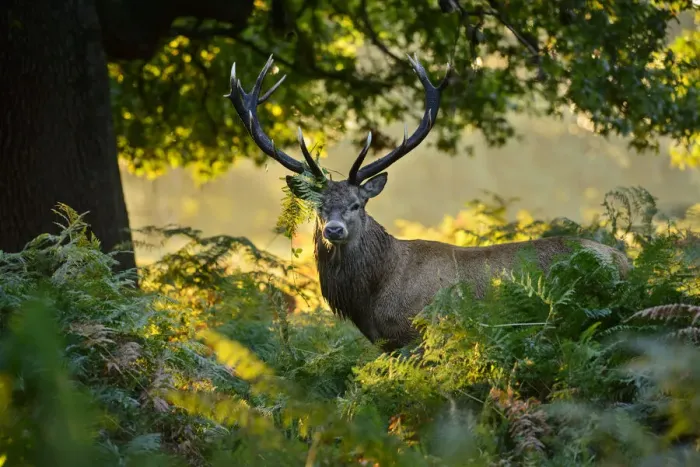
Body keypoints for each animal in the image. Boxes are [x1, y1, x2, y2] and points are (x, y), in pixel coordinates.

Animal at [224, 54, 631, 352]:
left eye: (357, 204)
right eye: (319, 206)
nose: (334, 230)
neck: (371, 300)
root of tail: (625, 261)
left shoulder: (415, 335)